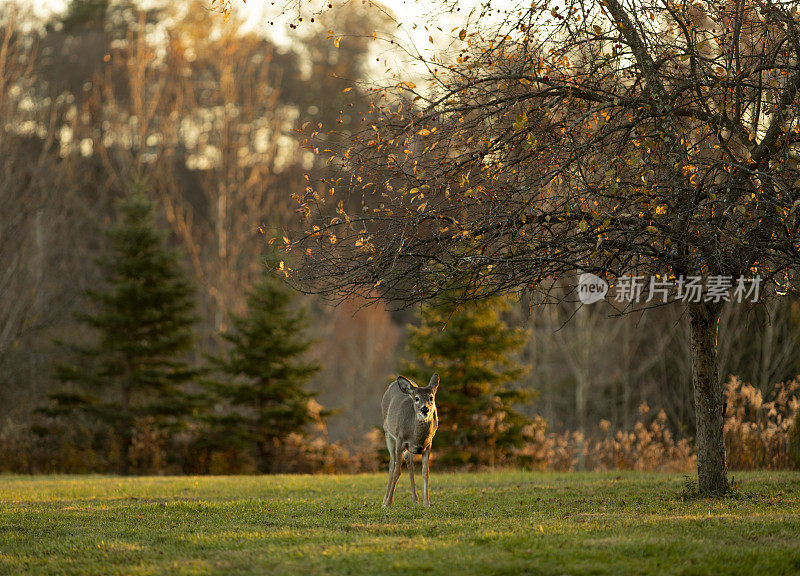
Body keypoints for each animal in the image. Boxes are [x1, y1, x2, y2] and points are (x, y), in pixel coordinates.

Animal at [380, 372, 440, 506]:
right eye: (416, 398)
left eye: (431, 397)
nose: (425, 409)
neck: (416, 437)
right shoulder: (400, 440)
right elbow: (397, 471)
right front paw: (388, 503)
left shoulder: (428, 445)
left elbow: (425, 472)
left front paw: (426, 503)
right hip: (388, 434)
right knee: (392, 464)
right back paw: (384, 500)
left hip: (408, 448)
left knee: (409, 462)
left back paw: (415, 498)